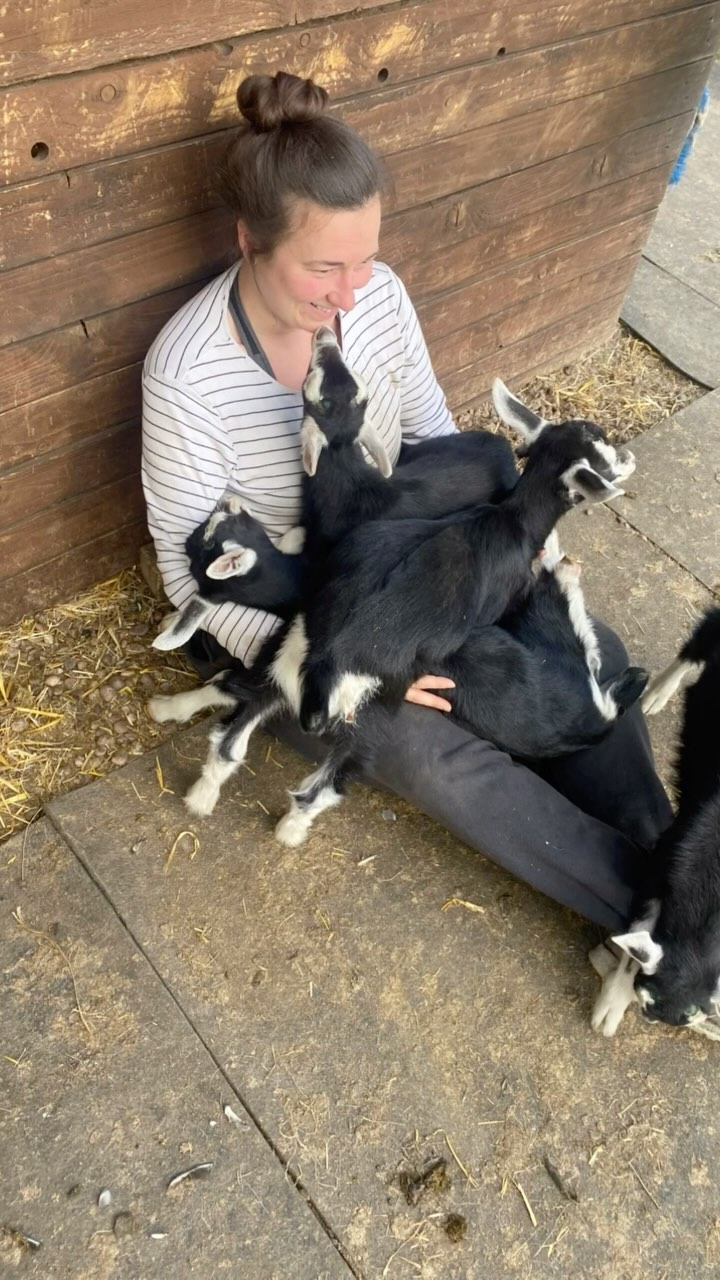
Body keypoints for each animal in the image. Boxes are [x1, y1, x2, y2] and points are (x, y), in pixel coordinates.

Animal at [591, 607, 720, 1039]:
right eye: (647, 999)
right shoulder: (662, 860)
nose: (655, 1017)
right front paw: (611, 1004)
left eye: (697, 1014)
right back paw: (656, 693)